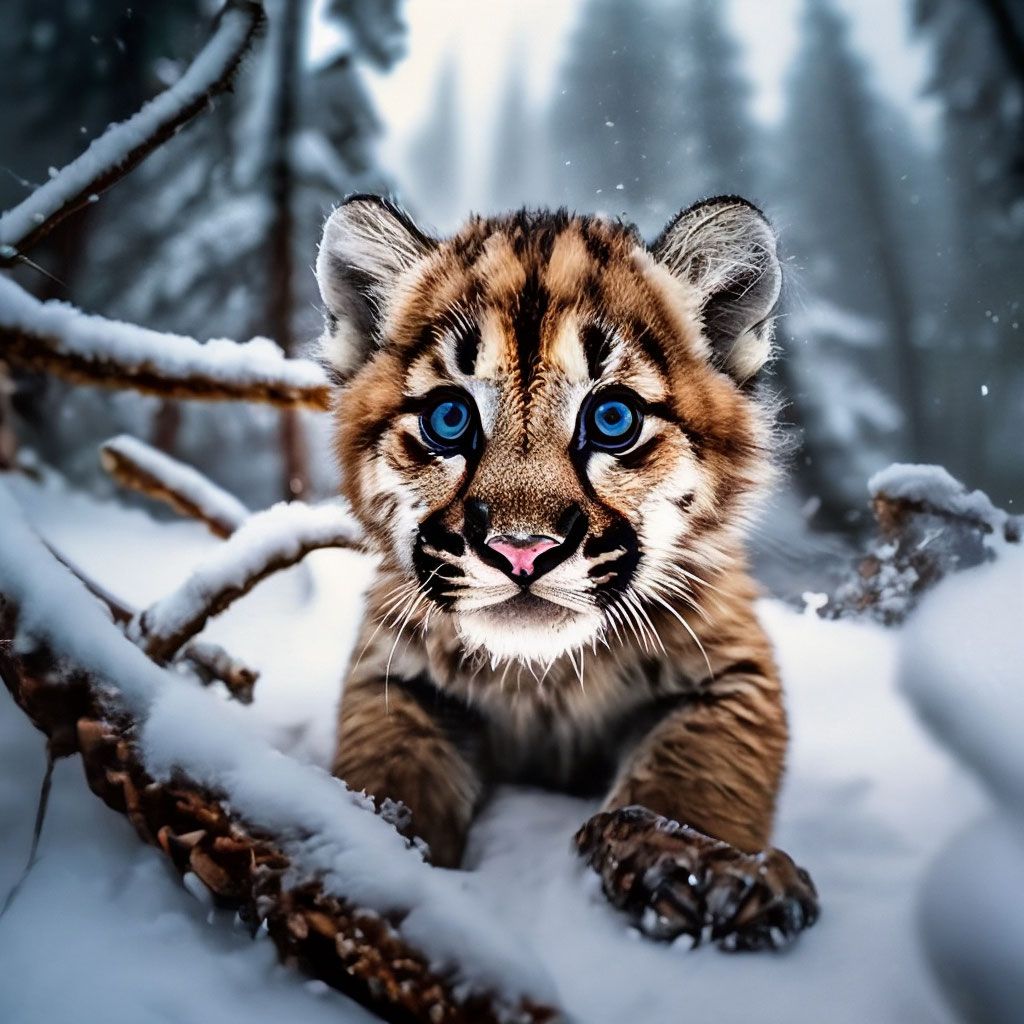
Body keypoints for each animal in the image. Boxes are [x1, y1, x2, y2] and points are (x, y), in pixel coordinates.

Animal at [314, 194, 818, 950]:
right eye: (448, 417)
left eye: (612, 418)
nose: (522, 550)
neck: (543, 678)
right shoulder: (392, 673)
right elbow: (387, 768)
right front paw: (367, 849)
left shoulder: (732, 668)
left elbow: (696, 771)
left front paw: (702, 867)